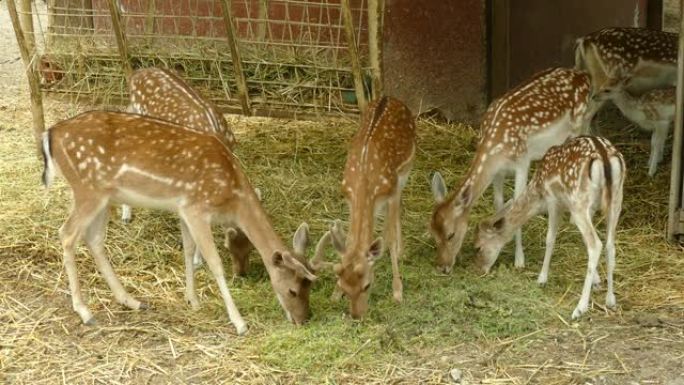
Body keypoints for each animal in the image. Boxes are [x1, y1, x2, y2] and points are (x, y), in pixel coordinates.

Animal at [38, 110, 322, 332]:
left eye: (309, 288)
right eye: (293, 290)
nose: (303, 320)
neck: (233, 194)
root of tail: (50, 133)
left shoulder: (183, 209)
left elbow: (188, 250)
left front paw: (192, 301)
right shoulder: (197, 208)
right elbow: (215, 263)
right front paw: (239, 322)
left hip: (103, 196)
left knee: (94, 239)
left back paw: (131, 300)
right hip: (87, 189)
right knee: (67, 234)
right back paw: (84, 311)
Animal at [320, 96, 416, 318]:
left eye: (367, 285)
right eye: (345, 287)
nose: (357, 315)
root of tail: (391, 98)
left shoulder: (391, 192)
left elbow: (390, 238)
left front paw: (397, 291)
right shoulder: (349, 197)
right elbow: (349, 239)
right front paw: (334, 295)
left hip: (406, 170)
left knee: (398, 209)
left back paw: (400, 251)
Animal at [430, 68, 592, 272]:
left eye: (450, 234)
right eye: (432, 234)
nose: (442, 267)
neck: (495, 147)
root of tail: (583, 75)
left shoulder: (522, 161)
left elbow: (516, 200)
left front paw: (519, 260)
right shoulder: (498, 172)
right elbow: (499, 203)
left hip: (578, 124)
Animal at [476, 136, 624, 320]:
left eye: (478, 247)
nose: (479, 270)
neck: (538, 190)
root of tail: (604, 156)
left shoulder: (554, 200)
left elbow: (550, 238)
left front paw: (542, 278)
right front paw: (597, 281)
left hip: (580, 201)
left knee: (596, 244)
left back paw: (580, 308)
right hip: (616, 199)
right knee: (610, 245)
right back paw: (610, 300)